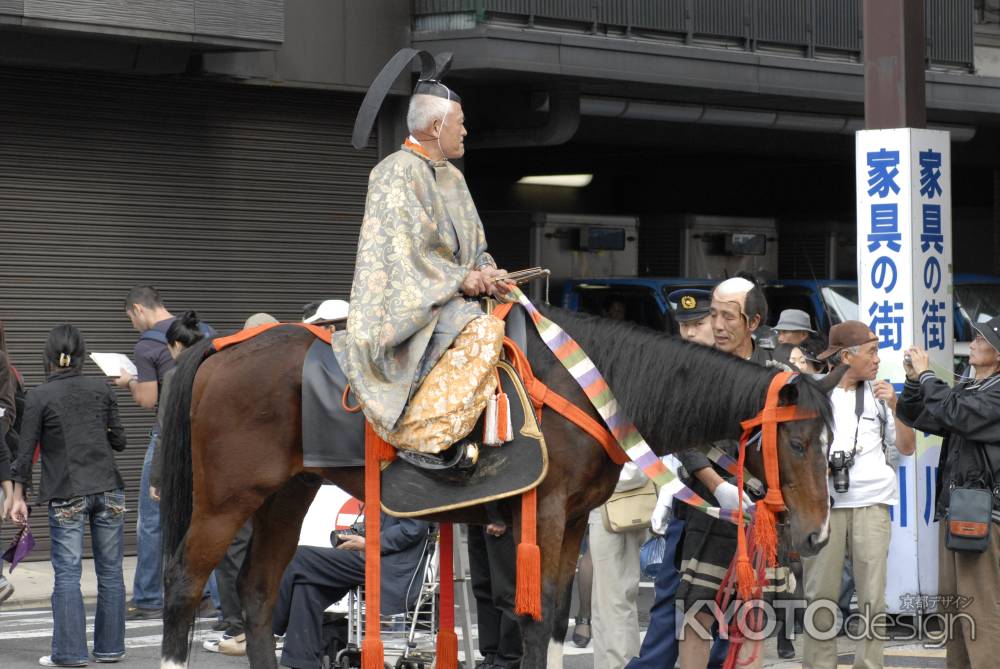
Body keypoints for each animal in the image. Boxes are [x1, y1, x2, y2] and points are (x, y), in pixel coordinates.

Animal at [158, 304, 844, 668]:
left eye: (828, 446)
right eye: (798, 444)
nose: (816, 535)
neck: (586, 389)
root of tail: (222, 347)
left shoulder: (572, 523)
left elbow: (557, 614)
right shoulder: (542, 517)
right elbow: (534, 618)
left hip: (285, 495)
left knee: (255, 592)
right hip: (224, 501)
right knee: (184, 585)